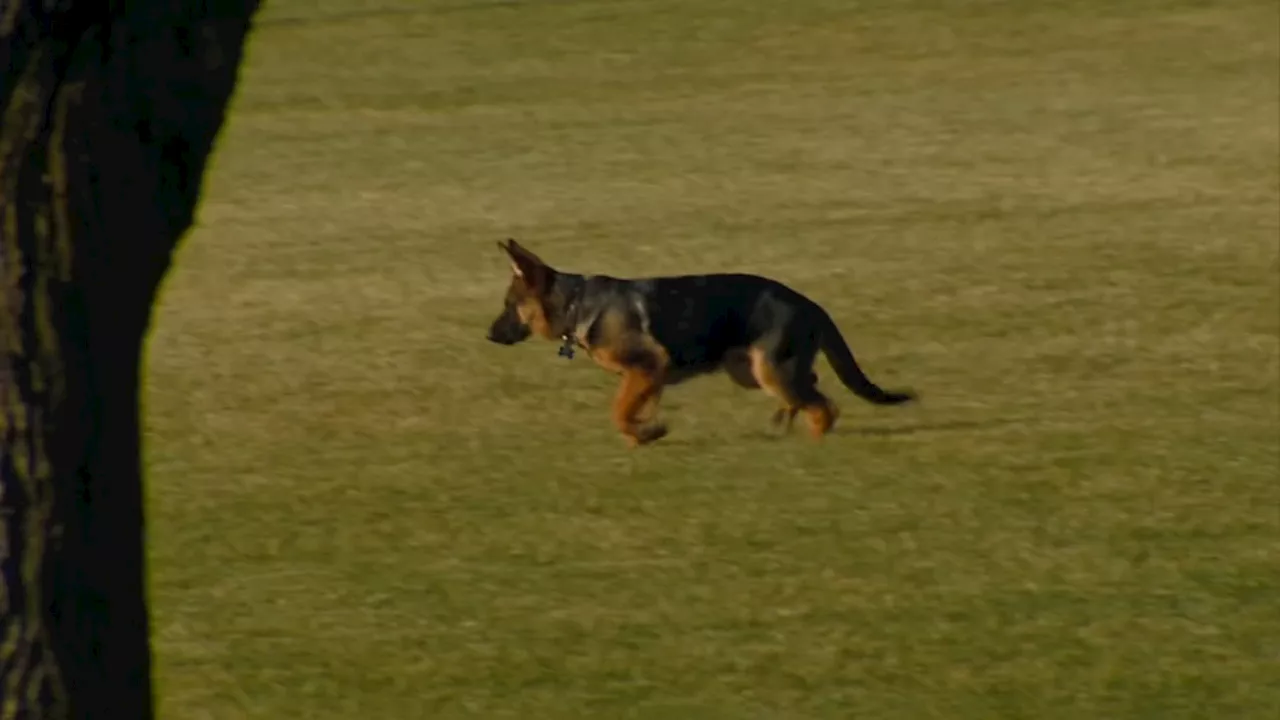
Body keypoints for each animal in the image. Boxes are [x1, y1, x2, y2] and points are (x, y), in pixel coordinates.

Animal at [483, 238, 916, 445]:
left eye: (508, 306)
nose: (488, 336)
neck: (577, 303)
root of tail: (811, 304)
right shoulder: (648, 378)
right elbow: (633, 409)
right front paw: (645, 432)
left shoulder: (647, 368)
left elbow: (619, 411)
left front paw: (645, 434)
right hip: (753, 370)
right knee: (809, 391)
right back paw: (786, 421)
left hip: (768, 368)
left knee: (824, 407)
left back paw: (812, 438)